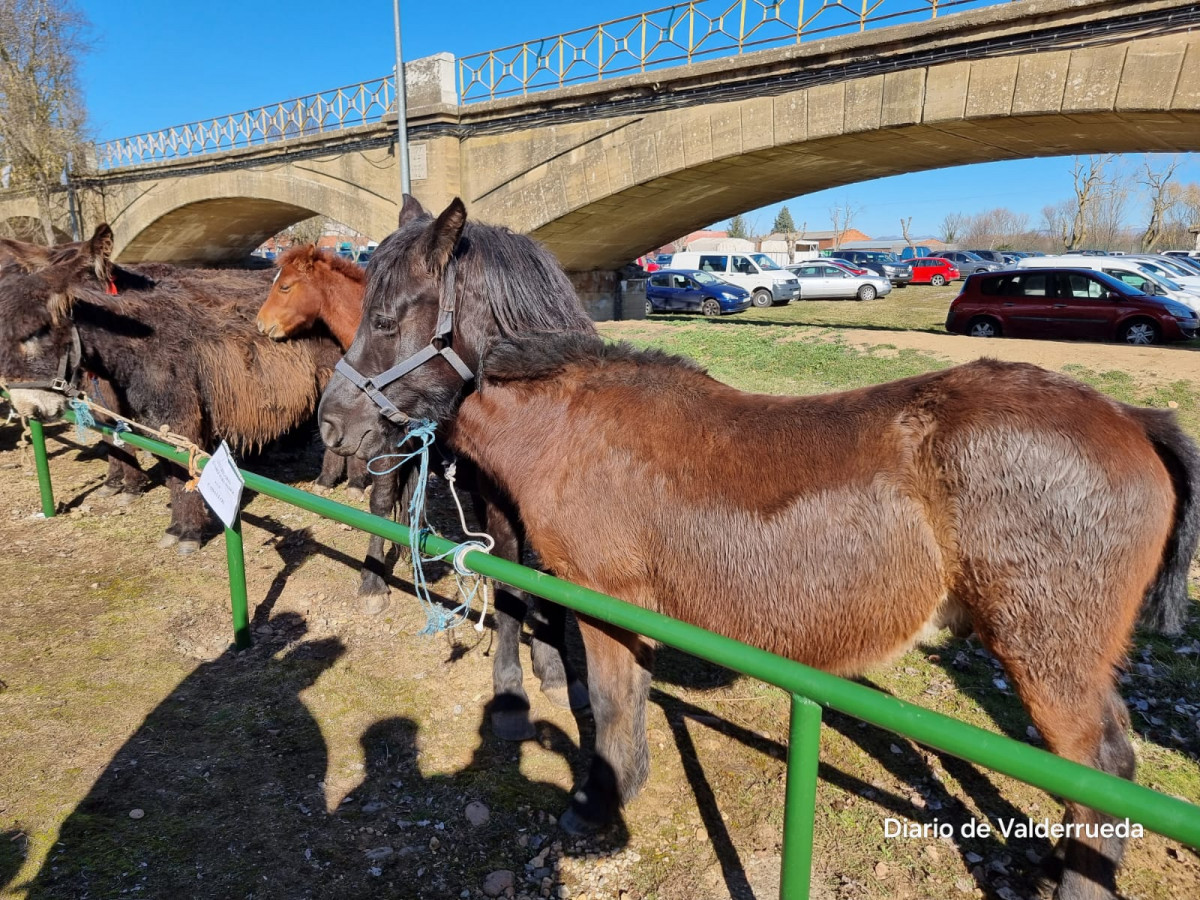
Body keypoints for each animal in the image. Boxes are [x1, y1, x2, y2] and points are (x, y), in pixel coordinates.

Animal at [321, 200, 592, 744]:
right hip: (391, 447)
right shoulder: (501, 512)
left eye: (383, 321)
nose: (329, 421)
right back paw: (374, 583)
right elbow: (512, 585)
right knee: (383, 503)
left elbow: (546, 585)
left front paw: (556, 668)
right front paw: (510, 688)